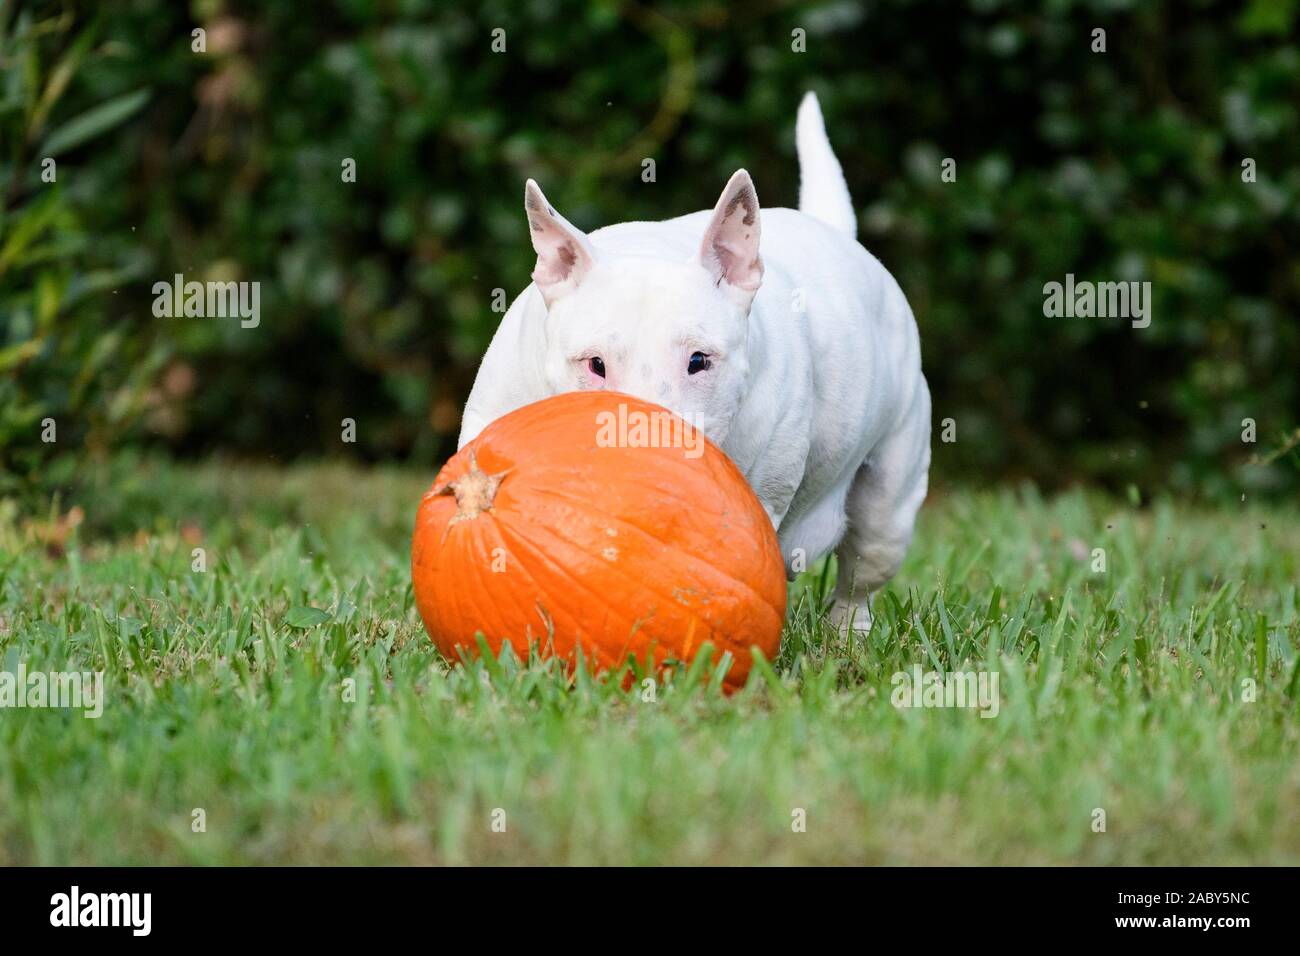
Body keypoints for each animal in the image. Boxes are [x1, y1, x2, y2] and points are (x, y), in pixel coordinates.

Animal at [457, 89, 925, 629]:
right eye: (594, 364)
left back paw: (847, 633)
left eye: (699, 361)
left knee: (862, 569)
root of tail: (833, 231)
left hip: (890, 491)